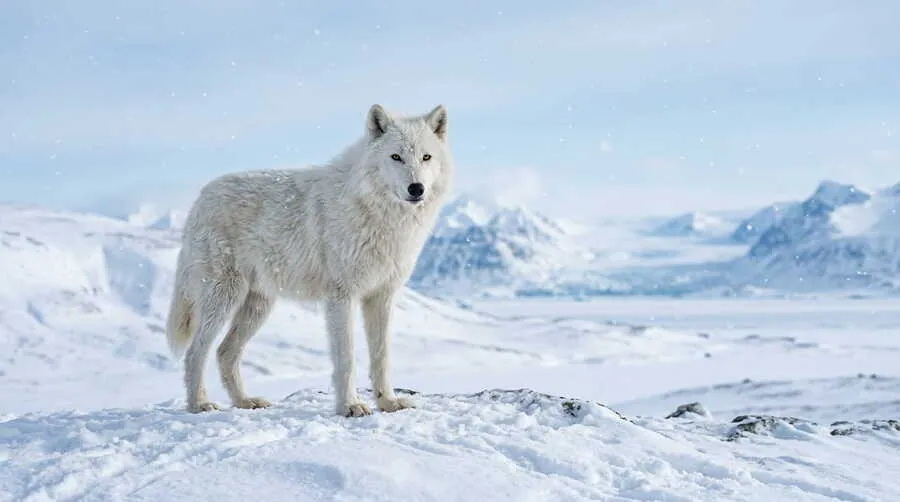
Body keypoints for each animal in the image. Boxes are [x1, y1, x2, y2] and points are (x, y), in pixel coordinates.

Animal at [165, 104, 454, 416]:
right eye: (396, 157)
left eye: (426, 157)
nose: (416, 188)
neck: (381, 216)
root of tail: (200, 199)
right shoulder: (342, 297)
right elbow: (347, 357)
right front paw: (350, 406)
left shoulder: (382, 297)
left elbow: (381, 356)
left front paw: (388, 402)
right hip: (223, 300)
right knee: (195, 353)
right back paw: (200, 404)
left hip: (258, 306)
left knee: (225, 352)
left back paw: (245, 401)